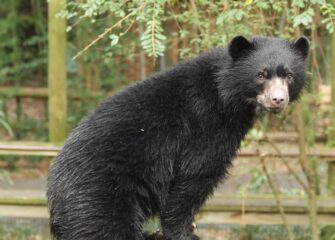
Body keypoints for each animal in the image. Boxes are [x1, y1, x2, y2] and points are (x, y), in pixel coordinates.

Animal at [47, 36, 310, 240]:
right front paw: (185, 231)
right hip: (100, 198)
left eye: (289, 75)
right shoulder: (206, 126)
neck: (227, 96)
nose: (278, 100)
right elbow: (195, 175)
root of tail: (54, 195)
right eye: (261, 75)